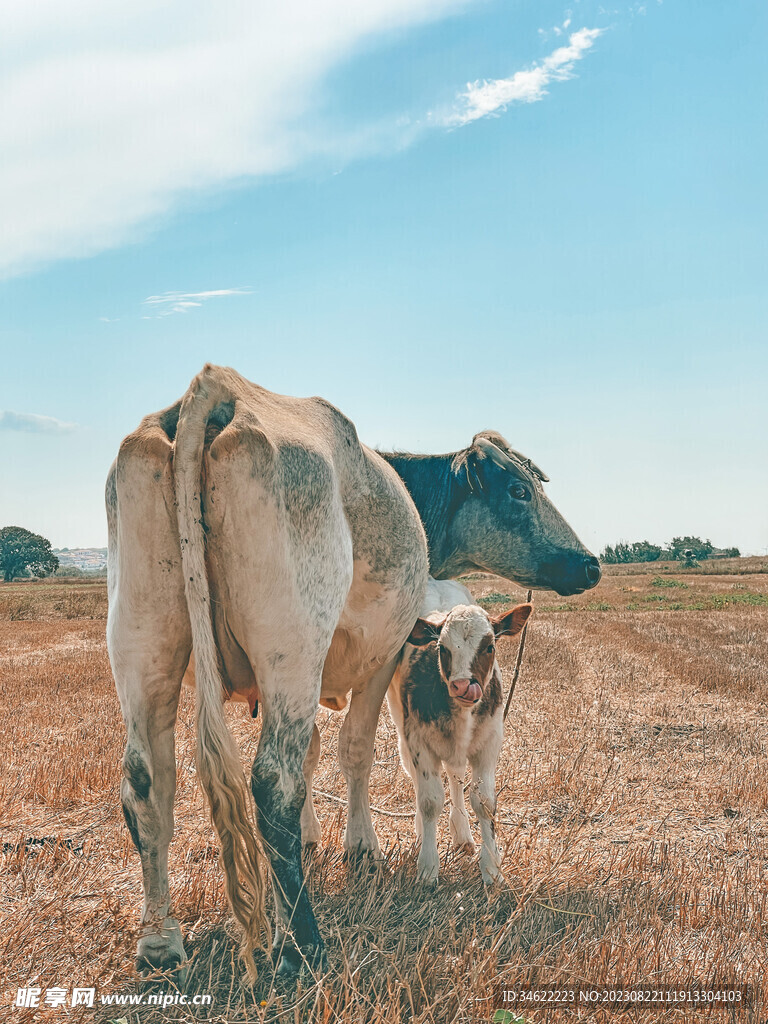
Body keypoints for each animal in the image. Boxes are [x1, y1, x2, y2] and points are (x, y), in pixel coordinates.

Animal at [387, 585, 532, 888]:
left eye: (489, 646)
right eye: (442, 648)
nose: (463, 685)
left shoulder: (489, 744)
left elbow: (484, 802)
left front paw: (492, 868)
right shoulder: (418, 742)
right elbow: (430, 801)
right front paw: (428, 866)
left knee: (455, 777)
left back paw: (462, 833)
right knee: (418, 779)